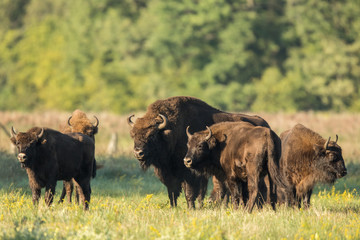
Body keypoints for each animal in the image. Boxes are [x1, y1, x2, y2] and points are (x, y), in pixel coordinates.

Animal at [129, 95, 270, 208]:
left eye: (152, 135)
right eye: (133, 134)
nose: (138, 153)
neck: (172, 131)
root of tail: (265, 123)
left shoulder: (190, 174)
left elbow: (190, 193)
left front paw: (191, 208)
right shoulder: (170, 174)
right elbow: (173, 193)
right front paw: (174, 208)